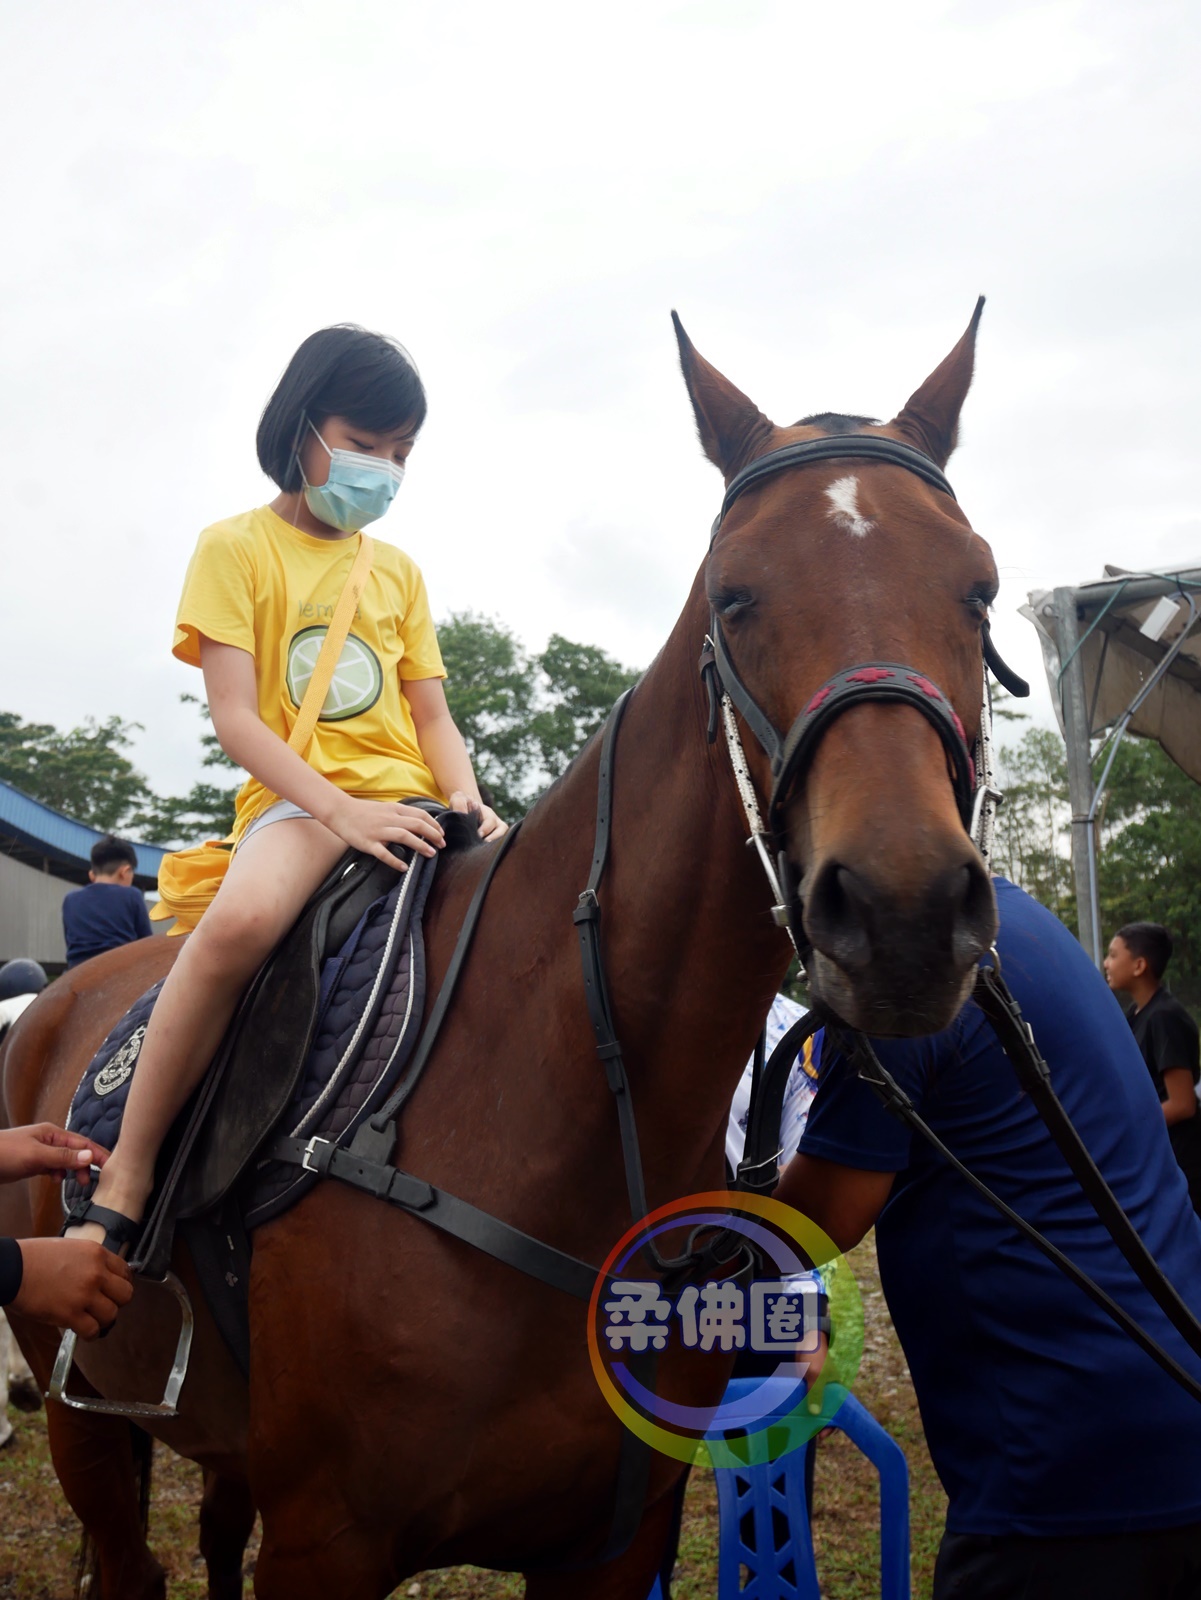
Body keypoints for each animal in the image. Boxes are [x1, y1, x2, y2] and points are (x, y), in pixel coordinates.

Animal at [0, 301, 1000, 1599]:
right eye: (734, 597)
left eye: (979, 591)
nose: (901, 909)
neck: (551, 1102)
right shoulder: (325, 1540)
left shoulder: (614, 1541)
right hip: (84, 1410)